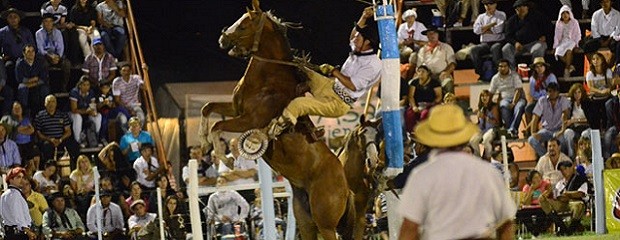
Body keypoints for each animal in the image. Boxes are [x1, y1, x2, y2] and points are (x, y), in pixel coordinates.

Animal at [201, 0, 356, 239]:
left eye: (244, 25)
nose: (222, 39)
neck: (268, 81)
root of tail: (346, 188)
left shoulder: (249, 121)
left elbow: (218, 125)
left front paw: (226, 159)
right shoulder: (235, 109)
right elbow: (207, 108)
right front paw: (203, 140)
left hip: (326, 225)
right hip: (305, 220)